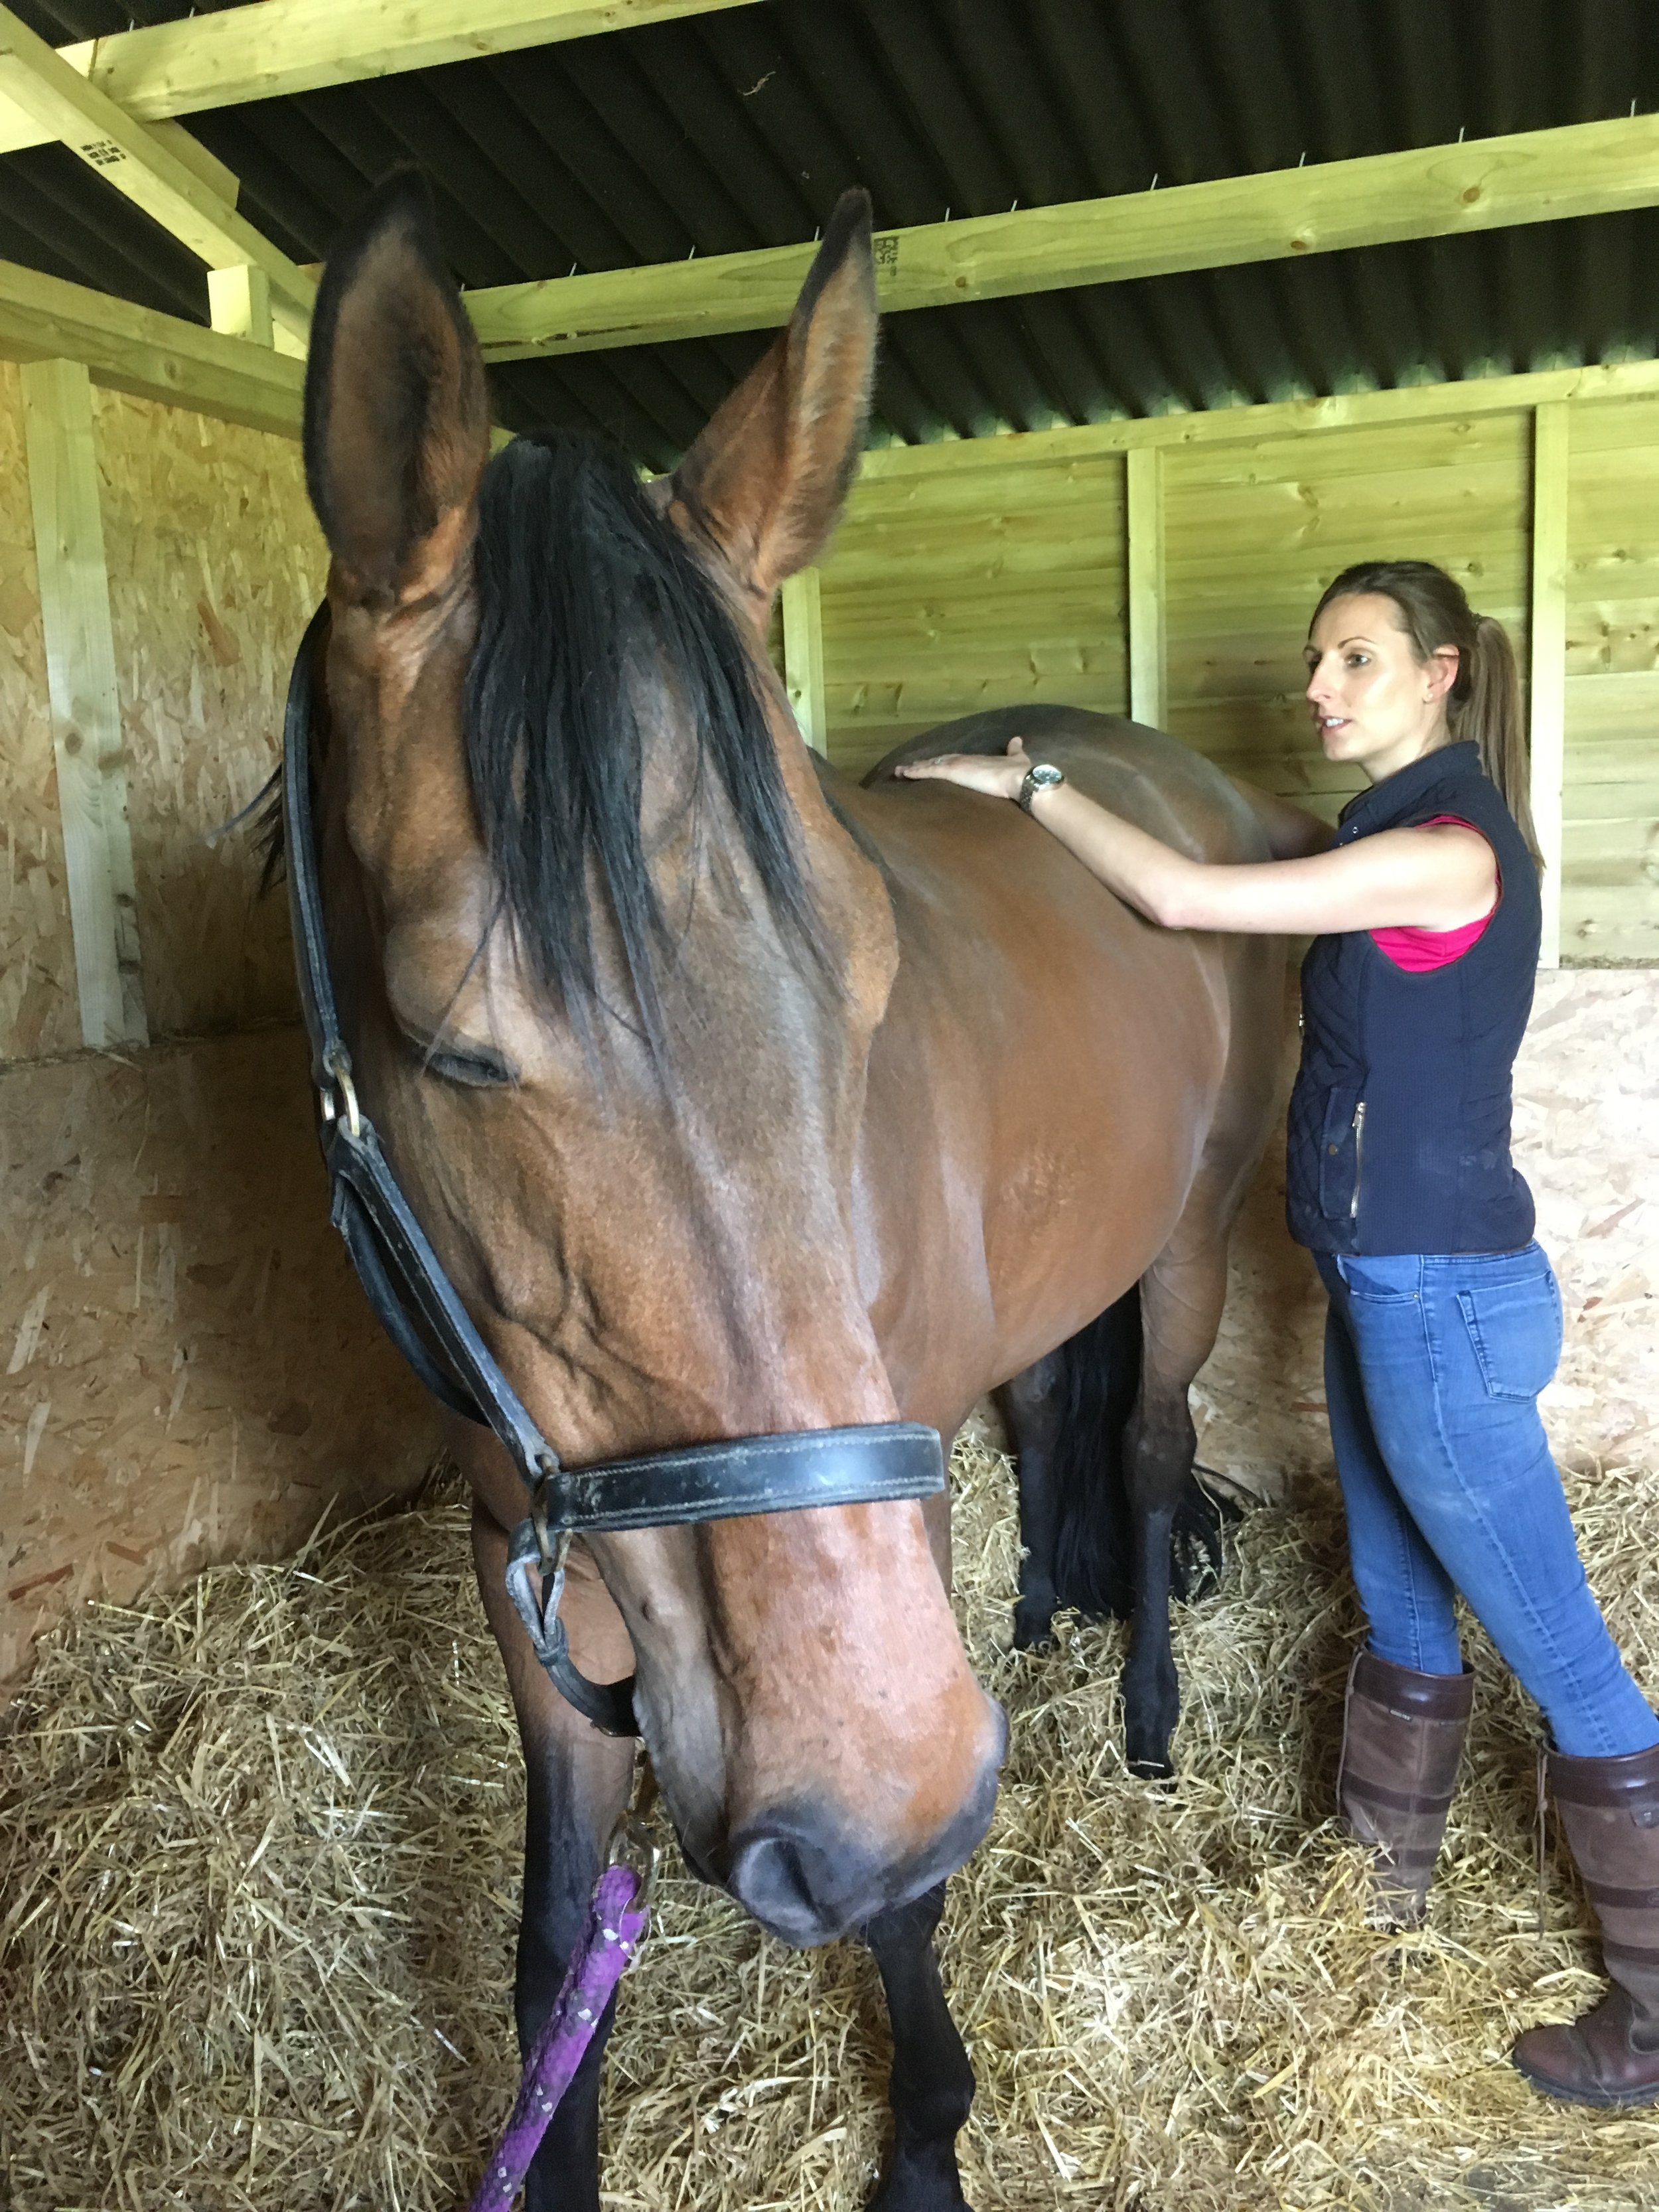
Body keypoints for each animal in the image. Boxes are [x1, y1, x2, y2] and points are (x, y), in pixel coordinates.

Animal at [299, 177, 1283, 2212]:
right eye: (444, 1038)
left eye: (867, 970)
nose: (879, 1788)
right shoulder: (519, 1552)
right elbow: (548, 1952)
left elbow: (899, 1904)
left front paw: (922, 2139)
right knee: (1059, 1424)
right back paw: (1037, 1622)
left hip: (1194, 1239)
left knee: (1149, 1449)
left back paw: (1144, 1717)